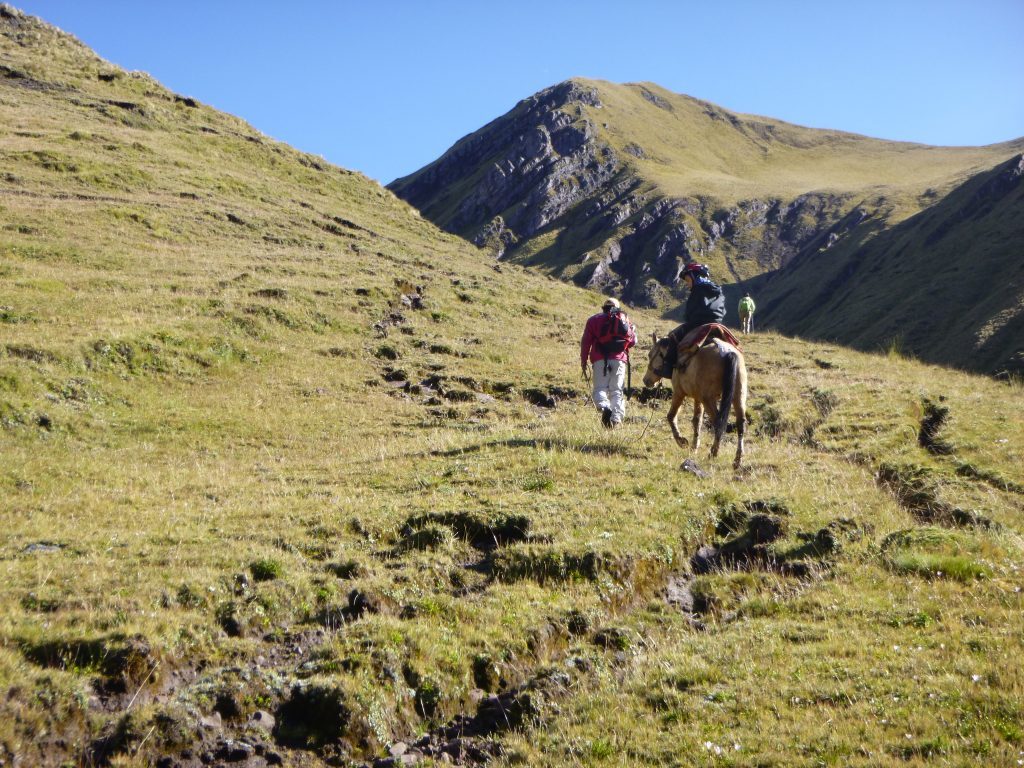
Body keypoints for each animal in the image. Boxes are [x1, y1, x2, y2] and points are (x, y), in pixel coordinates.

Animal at [643, 333, 749, 473]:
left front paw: (682, 441)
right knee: (740, 424)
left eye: (650, 354)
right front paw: (694, 446)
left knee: (719, 422)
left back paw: (713, 452)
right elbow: (697, 420)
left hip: (709, 399)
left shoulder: (679, 393)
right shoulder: (698, 399)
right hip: (738, 396)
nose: (646, 380)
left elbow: (671, 416)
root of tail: (727, 352)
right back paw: (737, 460)